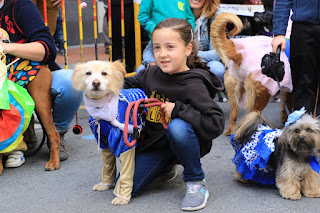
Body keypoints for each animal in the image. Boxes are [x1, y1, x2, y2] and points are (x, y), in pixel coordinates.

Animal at [72, 60, 146, 205]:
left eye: (104, 73)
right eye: (88, 73)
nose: (96, 82)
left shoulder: (124, 142)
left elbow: (125, 173)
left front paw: (122, 197)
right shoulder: (103, 139)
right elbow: (108, 165)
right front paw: (105, 184)